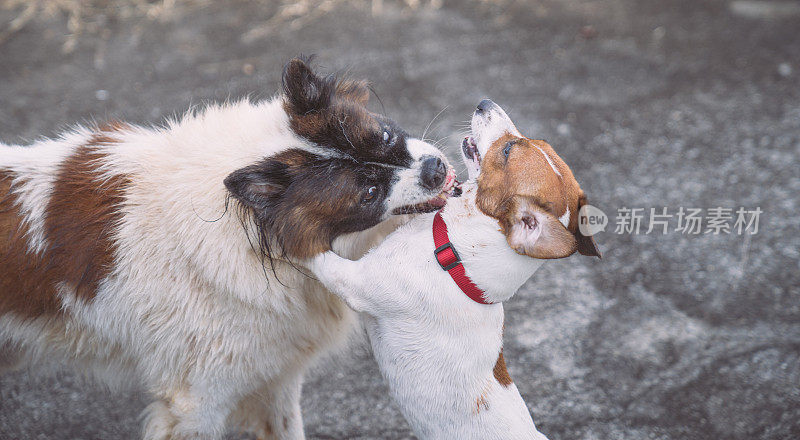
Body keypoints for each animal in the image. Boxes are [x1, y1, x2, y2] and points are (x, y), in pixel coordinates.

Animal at [0, 56, 456, 438]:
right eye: (368, 193)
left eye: (385, 135)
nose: (437, 169)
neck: (249, 227)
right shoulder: (195, 401)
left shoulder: (274, 377)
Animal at [306, 99, 600, 440]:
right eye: (532, 141)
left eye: (508, 149)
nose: (485, 102)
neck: (457, 260)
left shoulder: (355, 282)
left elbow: (313, 253)